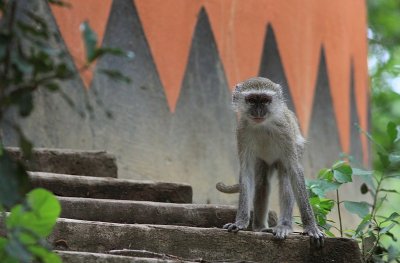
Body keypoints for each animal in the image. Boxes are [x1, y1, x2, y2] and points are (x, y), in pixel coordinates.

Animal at [217, 76, 324, 248]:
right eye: (252, 100)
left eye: (265, 100)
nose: (258, 111)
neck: (263, 124)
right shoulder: (242, 131)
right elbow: (246, 172)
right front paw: (240, 222)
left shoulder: (285, 131)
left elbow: (295, 171)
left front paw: (311, 227)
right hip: (262, 162)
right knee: (262, 182)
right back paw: (260, 227)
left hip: (296, 149)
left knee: (286, 180)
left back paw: (284, 226)